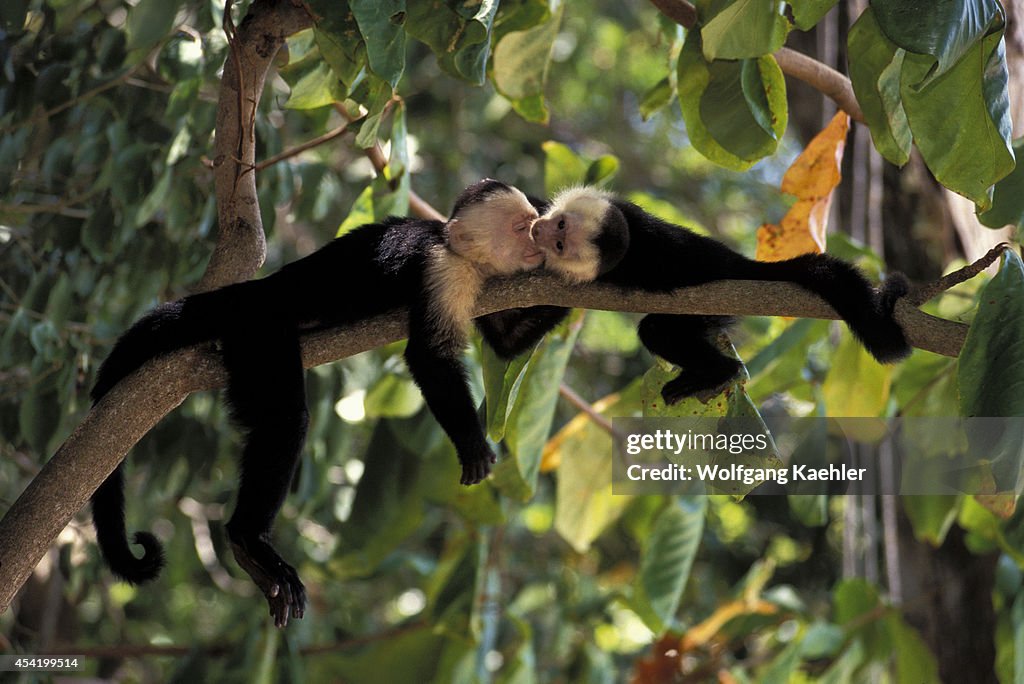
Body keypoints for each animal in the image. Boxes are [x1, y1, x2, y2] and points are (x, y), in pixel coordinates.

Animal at [90, 179, 544, 626]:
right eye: (522, 227)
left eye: (534, 224)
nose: (539, 241)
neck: (459, 251)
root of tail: (257, 291)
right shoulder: (443, 271)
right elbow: (430, 356)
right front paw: (471, 444)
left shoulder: (487, 287)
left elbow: (507, 344)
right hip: (258, 330)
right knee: (285, 420)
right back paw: (248, 540)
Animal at [473, 184, 913, 403]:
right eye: (559, 224)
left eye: (562, 241)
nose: (542, 230)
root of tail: (739, 265)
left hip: (712, 300)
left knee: (657, 331)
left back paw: (720, 372)